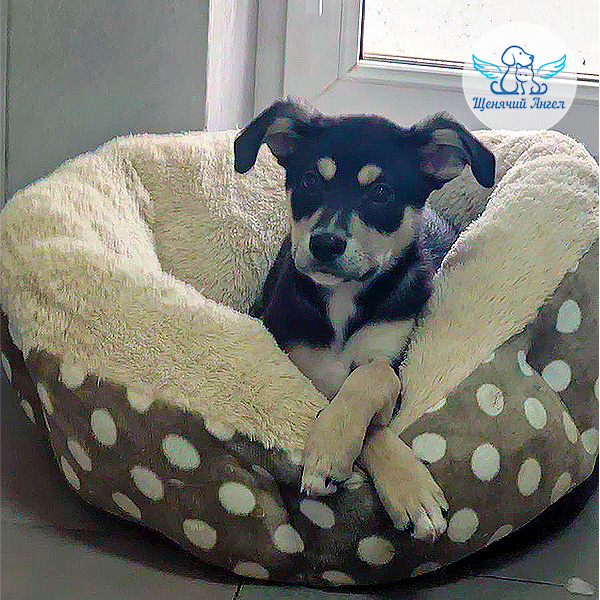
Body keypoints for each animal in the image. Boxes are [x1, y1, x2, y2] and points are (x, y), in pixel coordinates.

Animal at [234, 99, 495, 541]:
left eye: (381, 192)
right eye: (310, 180)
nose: (324, 243)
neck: (342, 299)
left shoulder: (393, 359)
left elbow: (371, 381)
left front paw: (398, 482)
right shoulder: (295, 360)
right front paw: (335, 454)